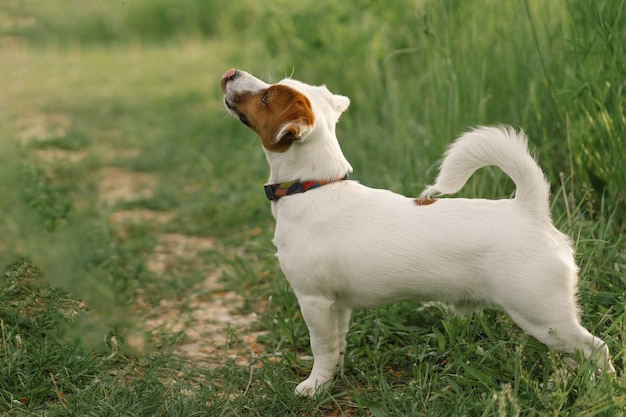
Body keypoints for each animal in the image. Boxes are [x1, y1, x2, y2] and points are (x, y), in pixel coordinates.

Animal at [221, 69, 616, 396]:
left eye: (267, 97)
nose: (230, 73)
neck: (313, 187)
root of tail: (529, 209)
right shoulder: (337, 305)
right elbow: (337, 346)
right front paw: (332, 378)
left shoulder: (313, 300)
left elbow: (321, 347)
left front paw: (314, 387)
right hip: (550, 322)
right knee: (574, 355)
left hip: (540, 314)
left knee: (596, 348)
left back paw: (604, 391)